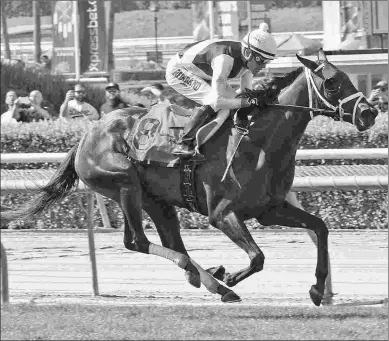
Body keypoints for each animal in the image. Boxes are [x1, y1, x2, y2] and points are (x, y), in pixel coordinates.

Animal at [1, 49, 378, 306]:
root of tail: (87, 134)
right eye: (332, 82)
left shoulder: (269, 210)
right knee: (137, 241)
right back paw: (213, 280)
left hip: (156, 201)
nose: (370, 112)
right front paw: (233, 276)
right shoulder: (222, 213)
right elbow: (257, 257)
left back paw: (208, 279)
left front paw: (317, 288)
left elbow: (320, 228)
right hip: (124, 184)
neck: (257, 142)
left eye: (347, 77)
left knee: (171, 242)